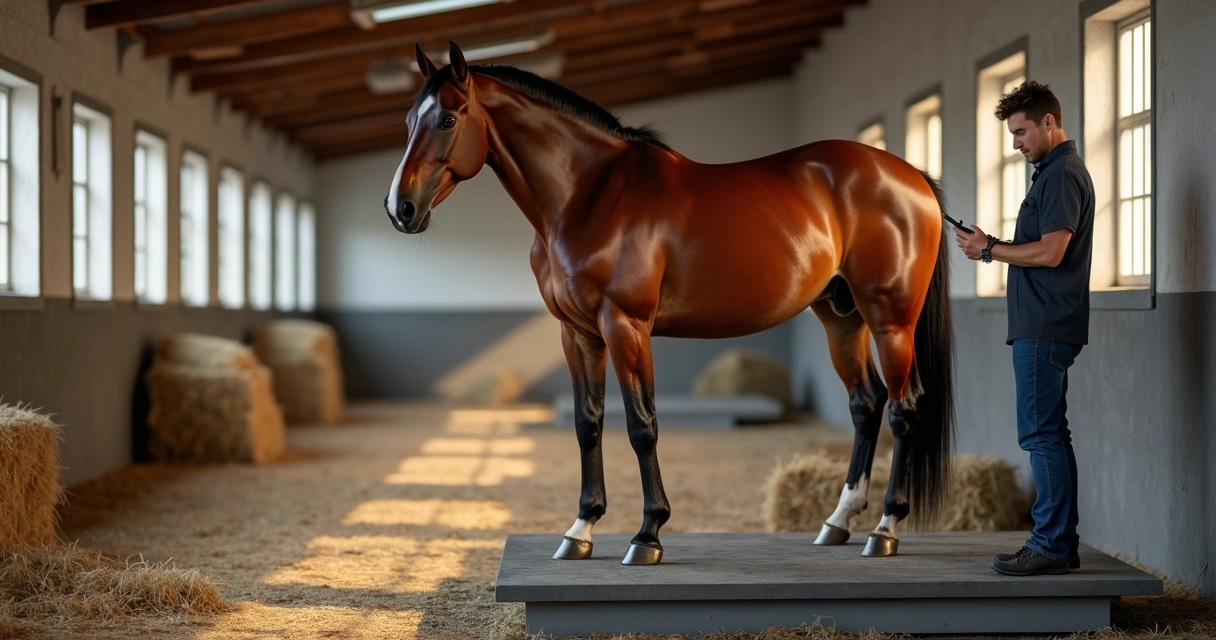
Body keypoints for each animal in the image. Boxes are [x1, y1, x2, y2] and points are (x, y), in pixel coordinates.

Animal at [385, 41, 956, 566]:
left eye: (448, 118)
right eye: (410, 119)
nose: (399, 208)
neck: (588, 196)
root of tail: (911, 177)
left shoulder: (626, 325)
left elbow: (642, 426)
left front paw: (647, 535)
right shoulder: (578, 333)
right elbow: (587, 423)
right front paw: (580, 530)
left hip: (890, 319)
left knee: (903, 407)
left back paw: (885, 529)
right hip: (841, 317)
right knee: (866, 404)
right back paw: (837, 521)